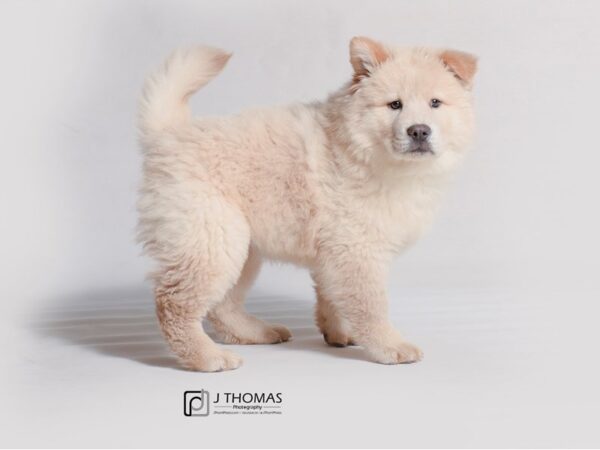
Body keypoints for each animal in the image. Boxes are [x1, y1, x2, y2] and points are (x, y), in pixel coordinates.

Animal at [137, 37, 478, 370]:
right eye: (395, 105)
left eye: (435, 103)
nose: (419, 130)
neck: (370, 155)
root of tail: (169, 135)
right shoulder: (358, 249)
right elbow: (371, 305)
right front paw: (390, 346)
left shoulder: (337, 252)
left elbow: (333, 297)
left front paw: (340, 333)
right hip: (212, 238)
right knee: (174, 304)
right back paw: (208, 357)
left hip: (241, 247)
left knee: (223, 305)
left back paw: (257, 332)